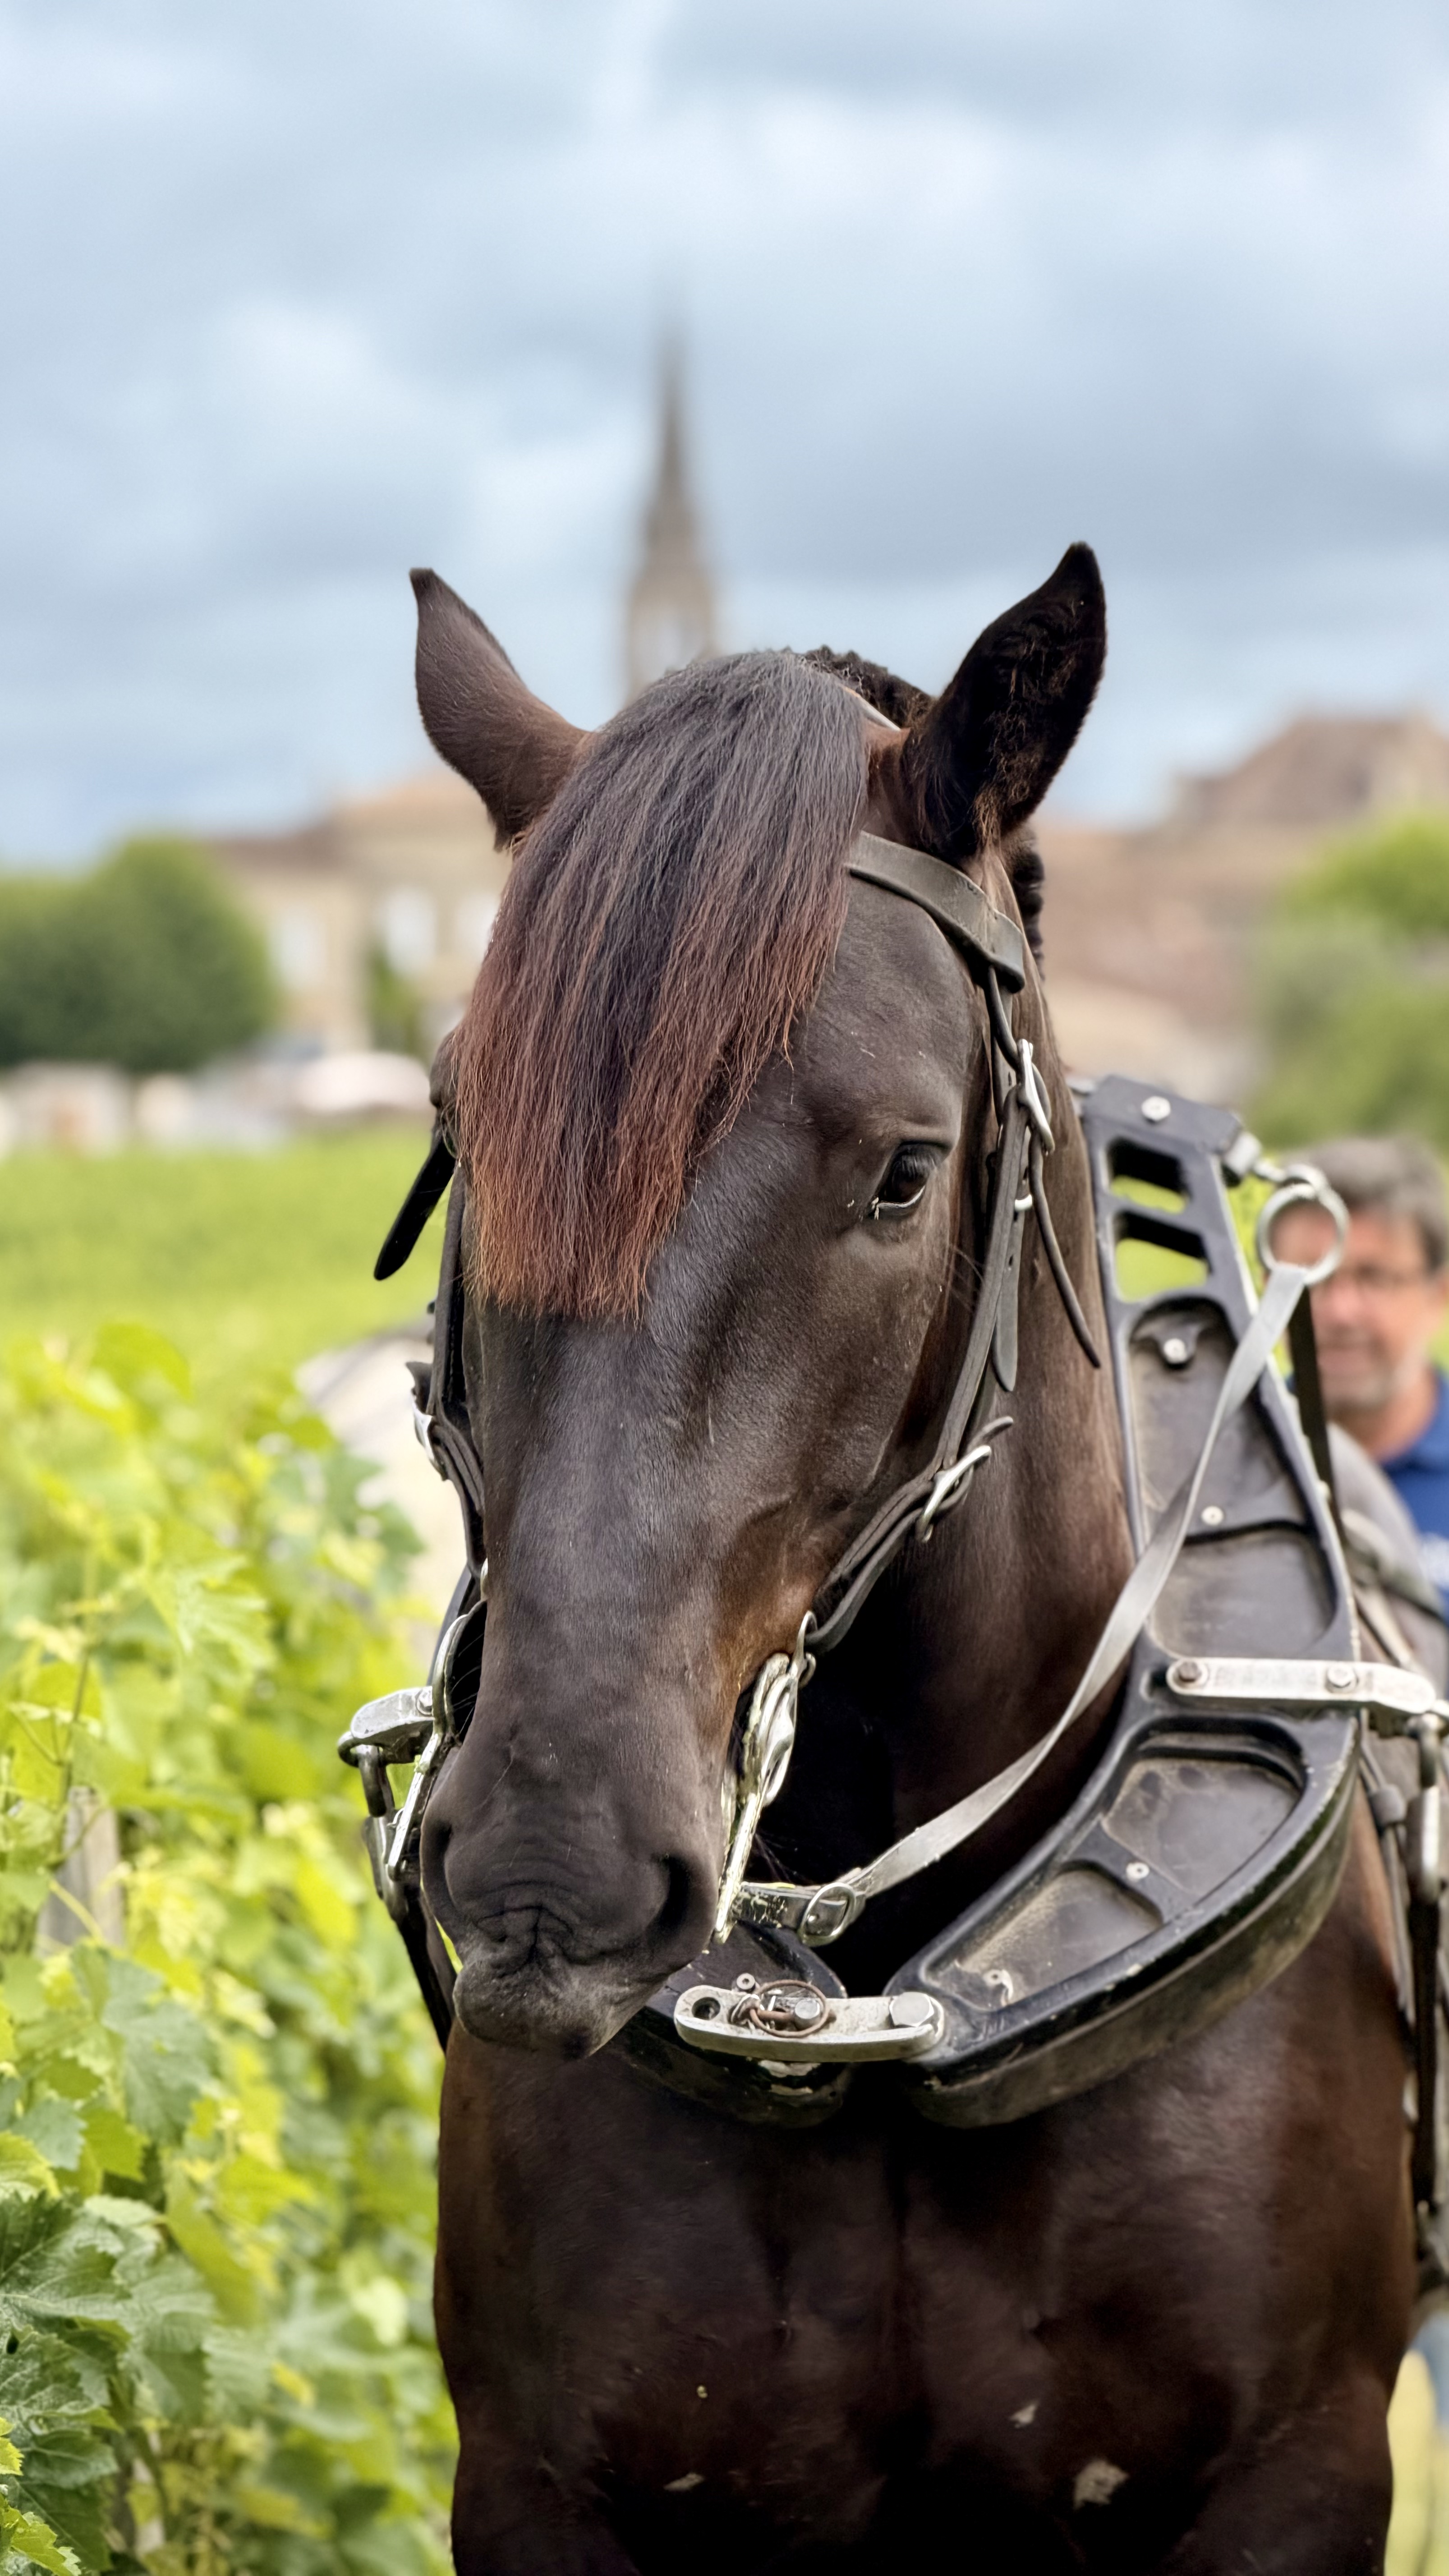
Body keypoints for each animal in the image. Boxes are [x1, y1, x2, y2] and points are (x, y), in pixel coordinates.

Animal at [408, 548, 1415, 2572]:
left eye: (901, 1169)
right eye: (463, 1134)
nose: (550, 1870)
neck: (875, 1994)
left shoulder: (1297, 2475)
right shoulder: (541, 2486)